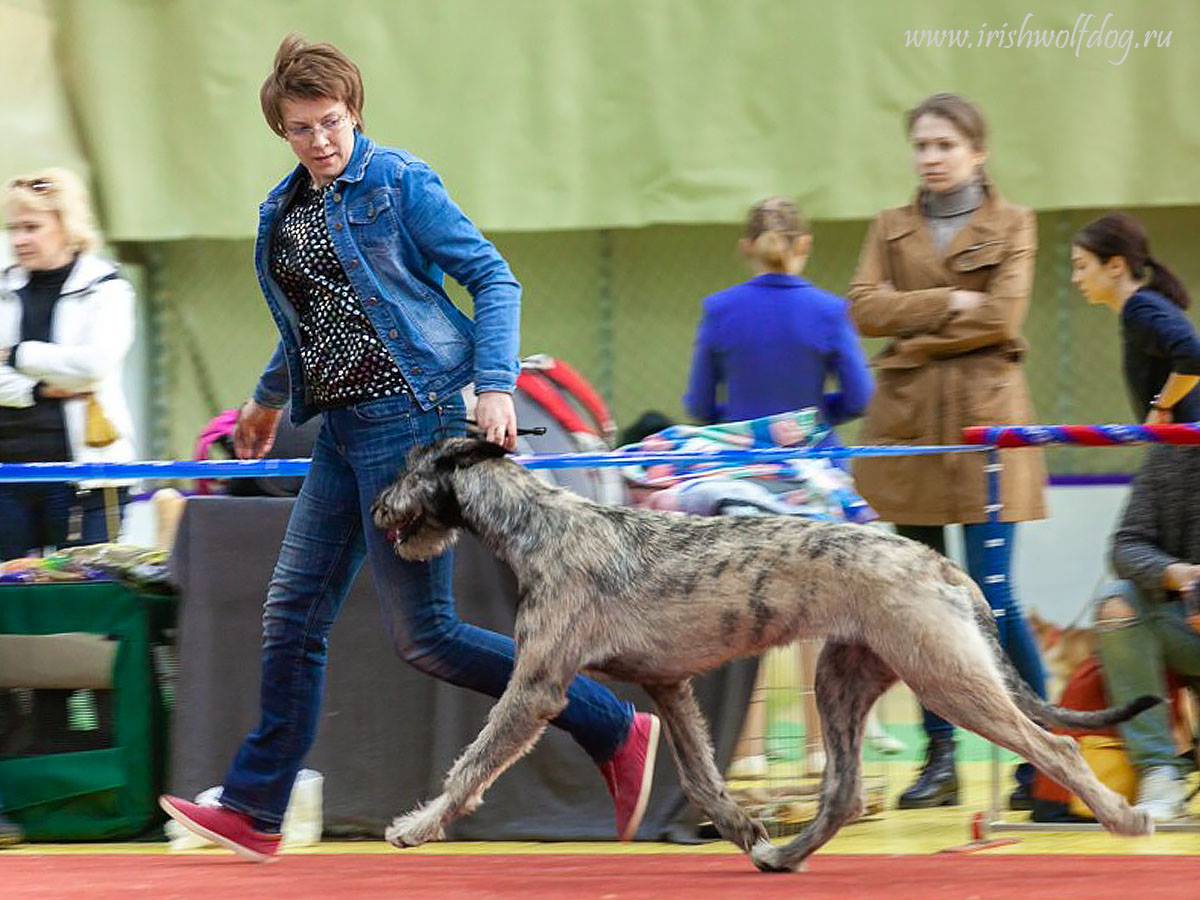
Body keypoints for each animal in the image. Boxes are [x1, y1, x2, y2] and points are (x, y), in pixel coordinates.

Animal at [372, 436, 1161, 873]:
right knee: (843, 792)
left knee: (1054, 746)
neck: (535, 523)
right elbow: (701, 776)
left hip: (946, 675)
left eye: (410, 466)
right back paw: (783, 853)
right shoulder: (669, 685)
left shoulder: (536, 685)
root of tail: (940, 565)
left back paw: (1125, 820)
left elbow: (473, 761)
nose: (377, 507)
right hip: (843, 677)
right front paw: (744, 825)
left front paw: (415, 826)